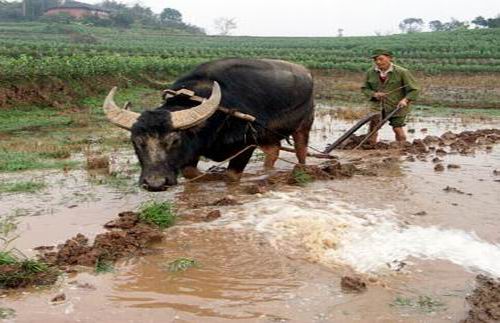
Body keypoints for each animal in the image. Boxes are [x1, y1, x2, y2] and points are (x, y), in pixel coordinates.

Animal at [102, 58, 312, 191]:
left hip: (304, 126)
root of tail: (307, 73)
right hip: (268, 136)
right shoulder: (192, 150)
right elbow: (190, 172)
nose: (155, 184)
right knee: (273, 151)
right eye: (137, 142)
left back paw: (301, 171)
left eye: (174, 140)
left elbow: (231, 176)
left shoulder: (246, 145)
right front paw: (210, 177)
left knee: (301, 151)